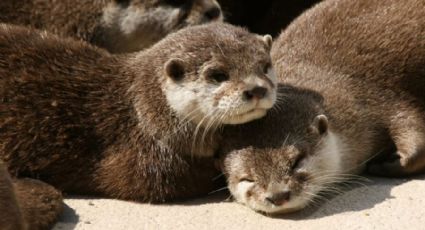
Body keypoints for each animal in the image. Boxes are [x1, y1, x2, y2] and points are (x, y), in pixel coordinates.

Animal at [219, 0, 424, 214]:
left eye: (297, 161)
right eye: (247, 178)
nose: (278, 195)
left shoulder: (380, 99)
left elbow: (414, 138)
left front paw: (384, 164)